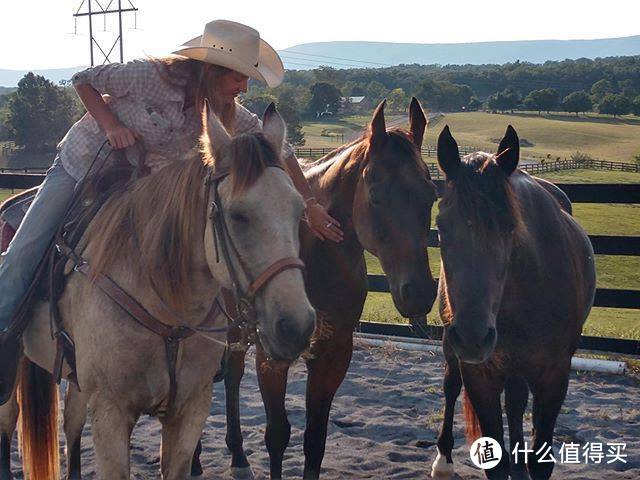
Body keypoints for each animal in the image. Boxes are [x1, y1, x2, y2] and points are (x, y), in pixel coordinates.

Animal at [200, 98, 438, 480]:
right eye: (375, 196)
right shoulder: (272, 357)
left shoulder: (334, 353)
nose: (418, 293)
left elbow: (315, 438)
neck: (314, 253)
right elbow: (277, 435)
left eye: (431, 194)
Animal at [430, 125, 596, 478]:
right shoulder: (480, 376)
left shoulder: (554, 376)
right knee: (451, 385)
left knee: (516, 403)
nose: (474, 338)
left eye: (510, 227)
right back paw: (443, 461)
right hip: (454, 346)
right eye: (441, 226)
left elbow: (539, 459)